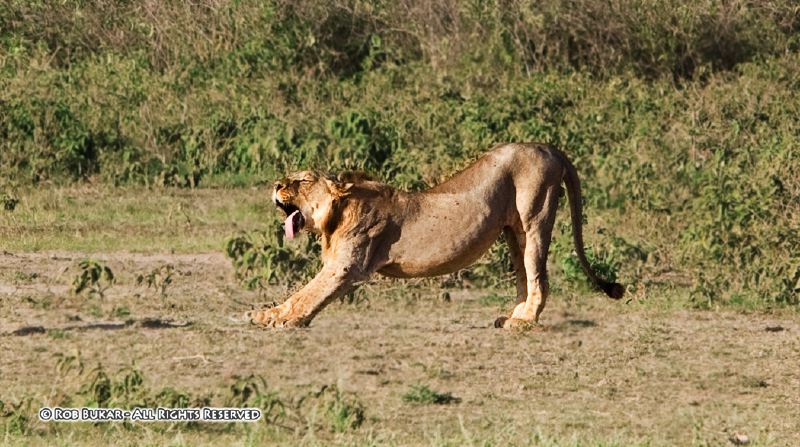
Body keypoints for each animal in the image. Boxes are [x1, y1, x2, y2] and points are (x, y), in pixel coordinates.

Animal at [247, 143, 620, 328]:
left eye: (302, 180)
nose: (276, 185)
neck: (335, 215)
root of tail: (549, 148)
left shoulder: (346, 266)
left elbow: (307, 294)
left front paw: (286, 320)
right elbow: (298, 294)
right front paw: (265, 315)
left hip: (535, 217)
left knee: (539, 276)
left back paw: (524, 322)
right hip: (514, 233)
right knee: (525, 277)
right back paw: (512, 316)